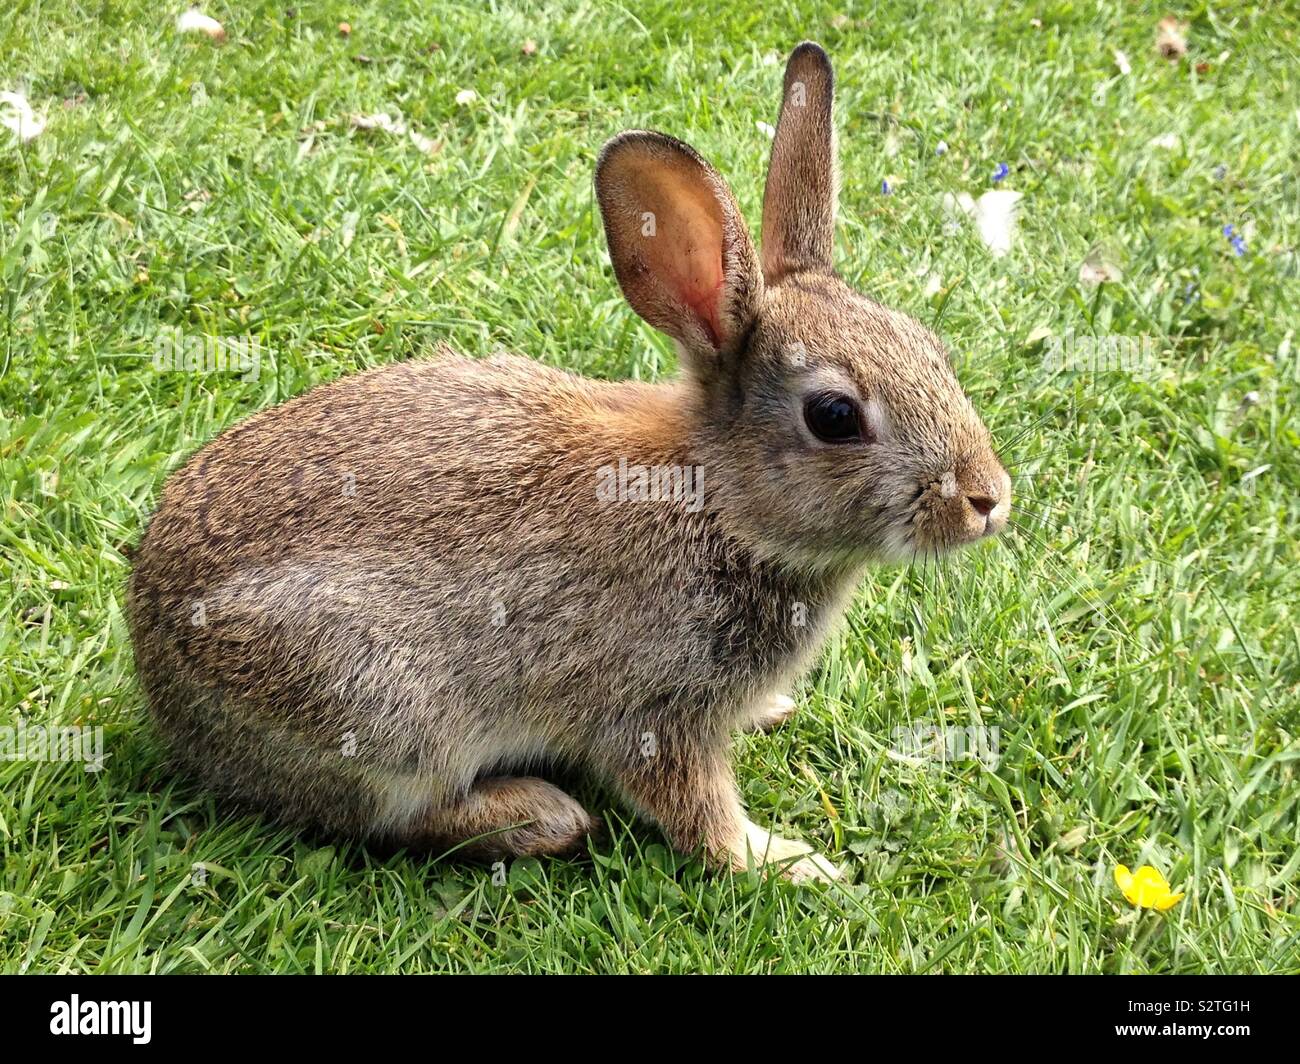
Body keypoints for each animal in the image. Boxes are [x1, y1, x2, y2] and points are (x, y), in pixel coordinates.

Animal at [127, 41, 1010, 883]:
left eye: (932, 348)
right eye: (834, 417)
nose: (989, 499)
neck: (721, 505)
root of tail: (158, 672)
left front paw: (772, 716)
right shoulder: (653, 709)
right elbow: (693, 807)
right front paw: (786, 862)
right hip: (379, 712)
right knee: (395, 815)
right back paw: (540, 815)